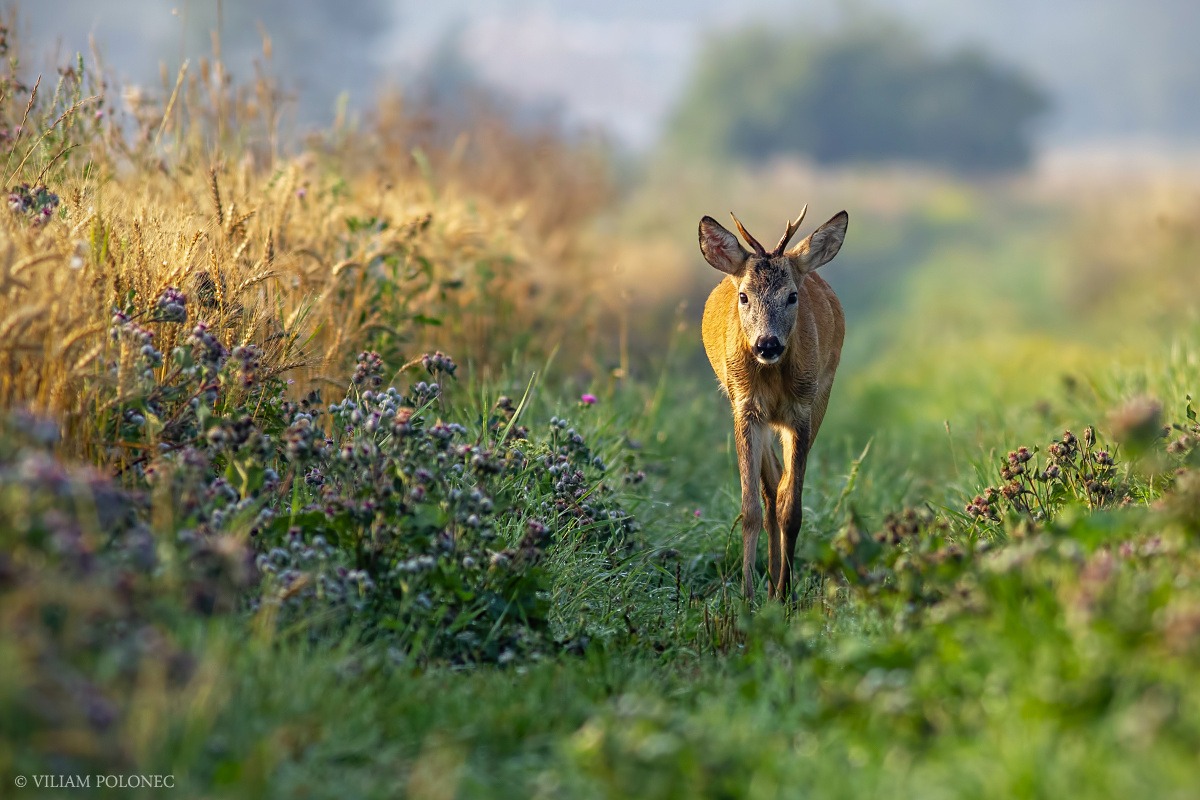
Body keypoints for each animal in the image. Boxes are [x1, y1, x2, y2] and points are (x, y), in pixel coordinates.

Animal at [700, 206, 849, 599]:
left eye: (792, 296)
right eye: (744, 296)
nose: (767, 344)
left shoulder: (802, 409)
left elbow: (792, 510)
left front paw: (786, 594)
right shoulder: (745, 407)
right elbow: (750, 508)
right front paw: (746, 597)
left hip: (821, 394)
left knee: (780, 489)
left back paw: (777, 585)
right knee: (769, 492)